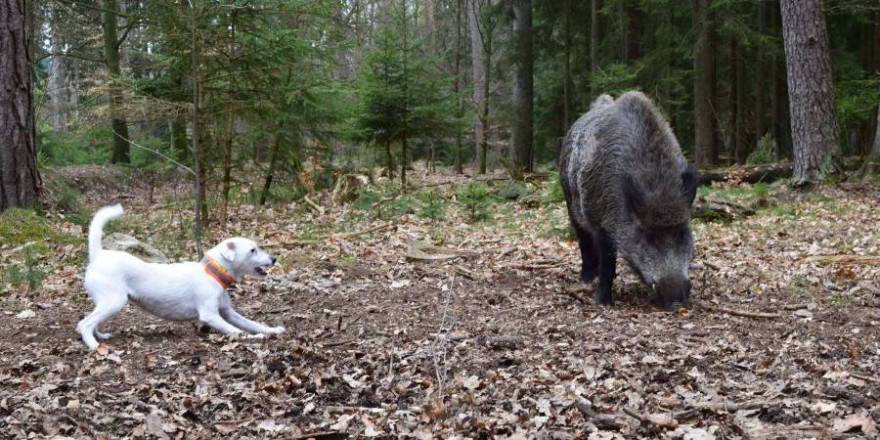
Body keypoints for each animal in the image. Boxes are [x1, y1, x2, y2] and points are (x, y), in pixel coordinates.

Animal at [78, 204, 286, 350]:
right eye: (253, 250)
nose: (274, 258)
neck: (213, 273)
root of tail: (98, 255)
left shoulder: (228, 313)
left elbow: (253, 324)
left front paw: (272, 331)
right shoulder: (211, 315)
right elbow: (238, 331)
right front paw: (255, 338)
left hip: (106, 303)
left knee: (92, 322)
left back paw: (100, 336)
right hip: (114, 302)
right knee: (84, 324)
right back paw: (94, 345)